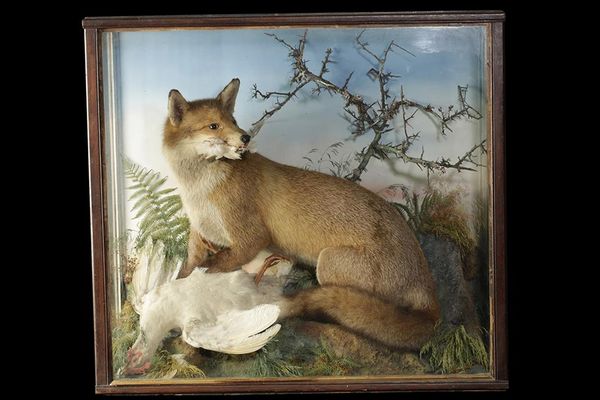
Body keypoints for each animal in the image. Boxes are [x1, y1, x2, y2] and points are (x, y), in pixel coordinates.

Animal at [164, 78, 440, 350]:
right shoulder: (198, 237)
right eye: (213, 126)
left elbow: (209, 273)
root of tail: (424, 277)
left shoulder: (250, 239)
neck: (198, 192)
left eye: (233, 120)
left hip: (328, 264)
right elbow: (186, 272)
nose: (246, 137)